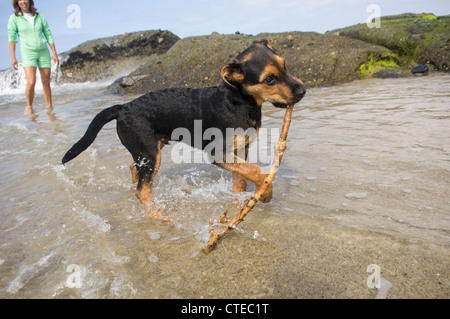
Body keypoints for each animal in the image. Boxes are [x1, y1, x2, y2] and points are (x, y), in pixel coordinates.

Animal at [62, 39, 306, 222]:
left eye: (285, 65)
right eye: (269, 79)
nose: (303, 91)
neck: (240, 102)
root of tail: (123, 107)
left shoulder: (239, 150)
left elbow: (242, 179)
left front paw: (243, 201)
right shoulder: (218, 154)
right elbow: (257, 170)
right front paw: (265, 193)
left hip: (149, 153)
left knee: (135, 171)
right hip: (149, 153)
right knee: (142, 191)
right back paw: (159, 217)